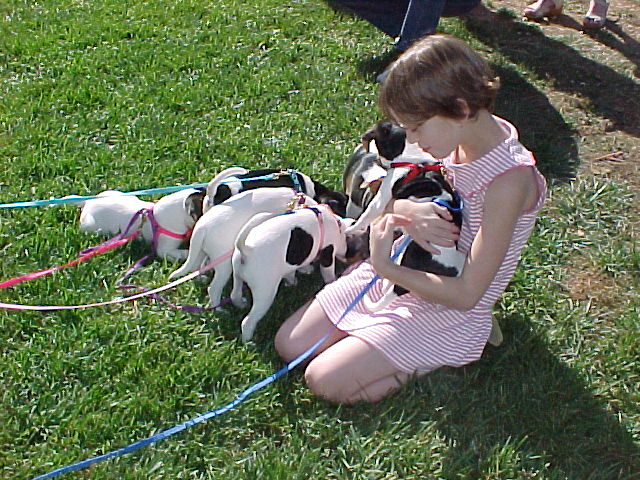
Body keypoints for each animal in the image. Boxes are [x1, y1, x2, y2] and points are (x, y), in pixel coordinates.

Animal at [169, 188, 318, 308]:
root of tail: (201, 228)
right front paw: (306, 268)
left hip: (200, 252)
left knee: (196, 267)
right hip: (224, 265)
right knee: (214, 288)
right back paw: (220, 310)